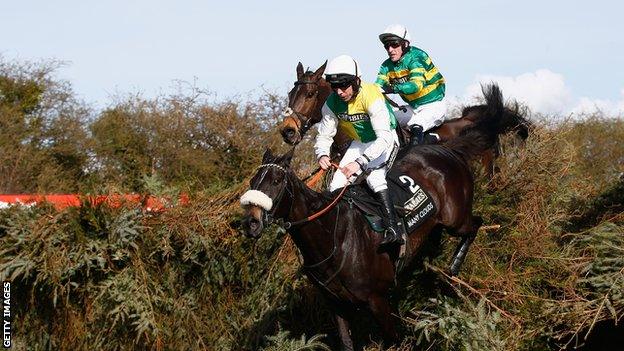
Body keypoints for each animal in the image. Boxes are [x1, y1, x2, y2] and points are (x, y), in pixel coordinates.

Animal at [241, 84, 516, 350]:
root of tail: (447, 149)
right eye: (253, 181)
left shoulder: (377, 300)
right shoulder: (337, 305)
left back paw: (453, 267)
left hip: (455, 219)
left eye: (277, 180)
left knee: (474, 225)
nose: (251, 223)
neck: (332, 237)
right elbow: (347, 343)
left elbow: (395, 339)